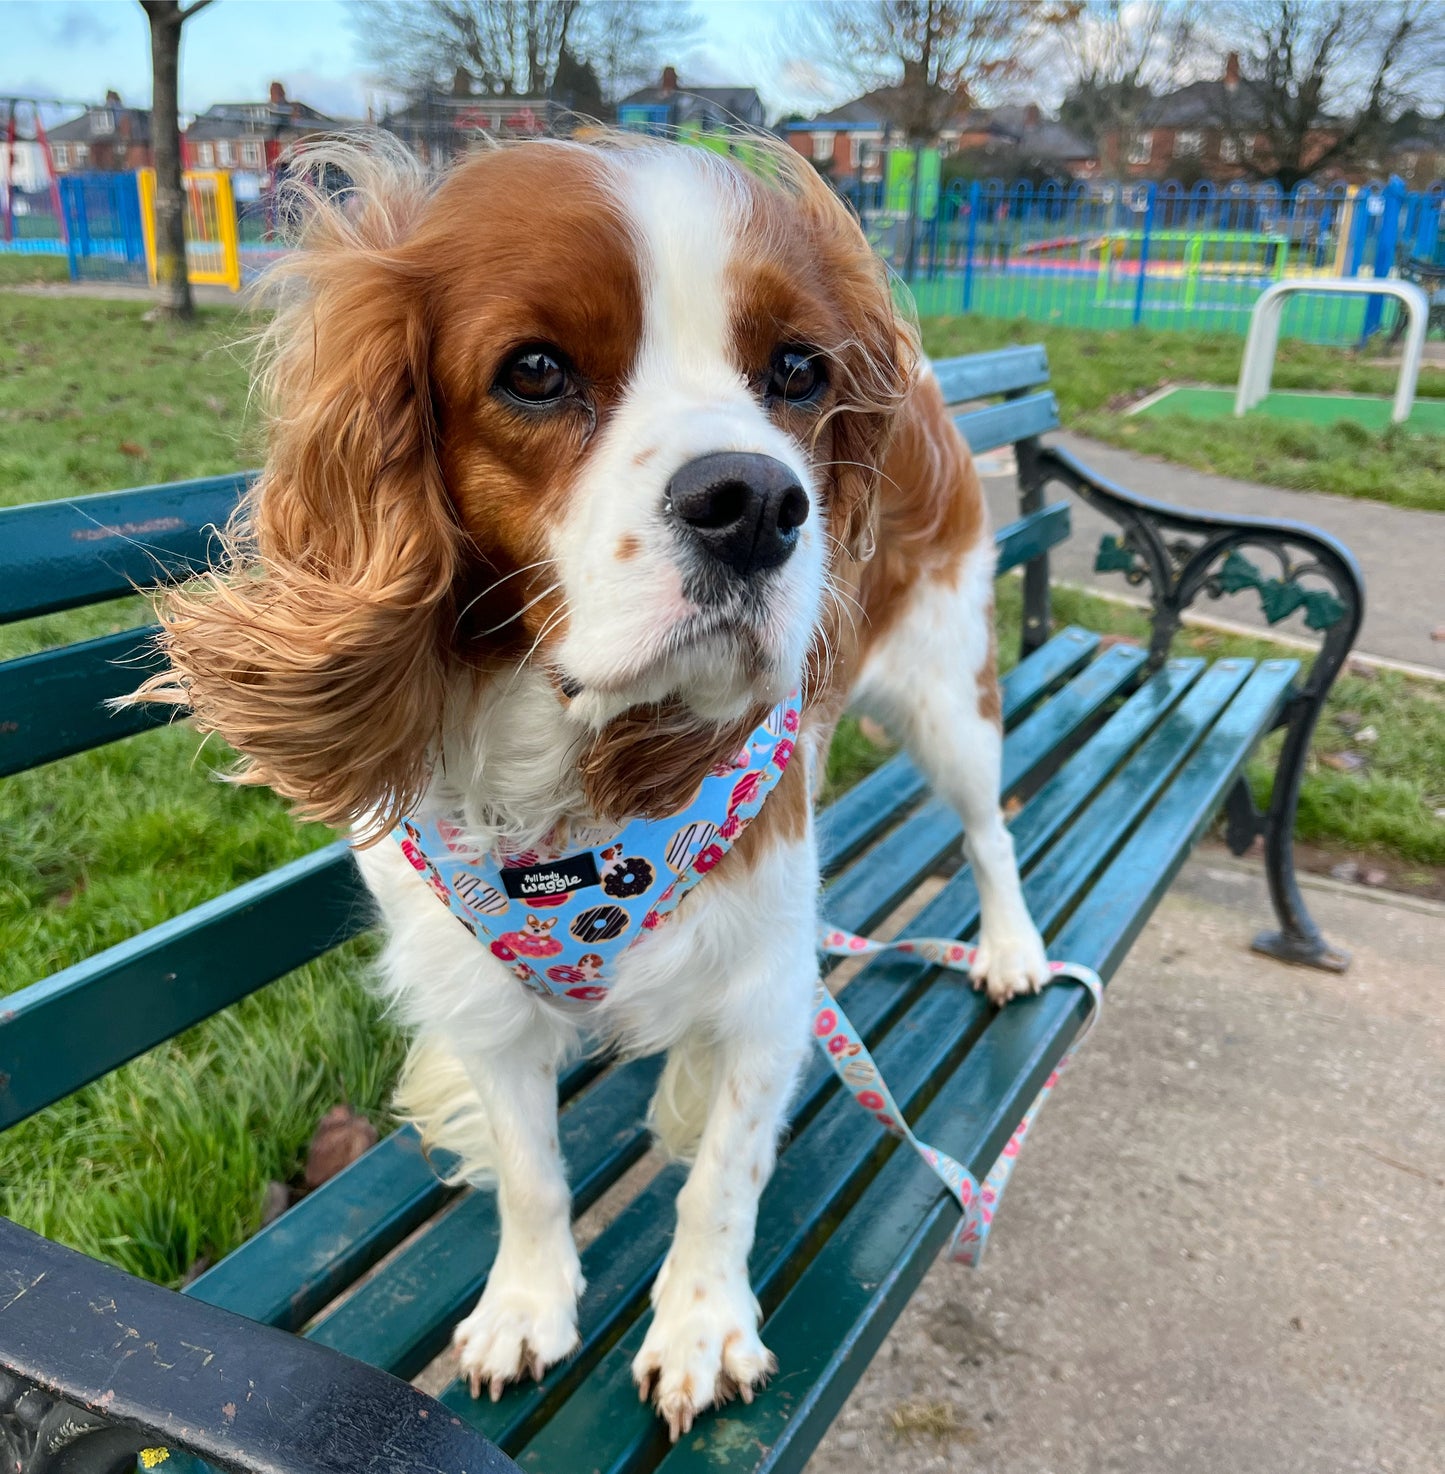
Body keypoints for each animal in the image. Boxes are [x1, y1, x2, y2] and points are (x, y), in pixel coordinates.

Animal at [138, 138, 1049, 1438]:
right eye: (533, 370)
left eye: (796, 370)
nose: (758, 502)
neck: (573, 789)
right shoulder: (477, 993)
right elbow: (530, 1172)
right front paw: (526, 1303)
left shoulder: (768, 982)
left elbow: (724, 1176)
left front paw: (702, 1323)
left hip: (943, 690)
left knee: (987, 830)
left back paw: (1013, 947)